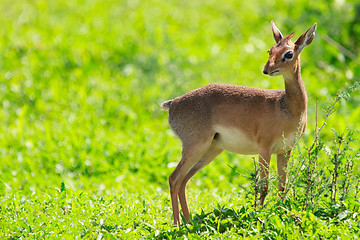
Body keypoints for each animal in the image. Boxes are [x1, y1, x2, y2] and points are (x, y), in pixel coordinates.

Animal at [162, 21, 316, 225]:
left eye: (289, 53)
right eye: (270, 50)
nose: (266, 69)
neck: (287, 107)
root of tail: (173, 103)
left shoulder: (285, 150)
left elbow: (282, 186)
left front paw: (281, 213)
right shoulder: (265, 148)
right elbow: (264, 186)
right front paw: (258, 215)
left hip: (211, 150)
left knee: (184, 180)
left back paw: (189, 222)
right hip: (196, 146)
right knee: (174, 178)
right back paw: (177, 224)